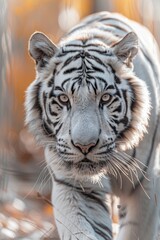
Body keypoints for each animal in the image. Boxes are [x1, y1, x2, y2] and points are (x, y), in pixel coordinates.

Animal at [25, 11, 160, 240]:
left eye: (105, 98)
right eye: (63, 99)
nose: (84, 146)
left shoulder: (145, 185)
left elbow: (136, 230)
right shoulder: (75, 186)